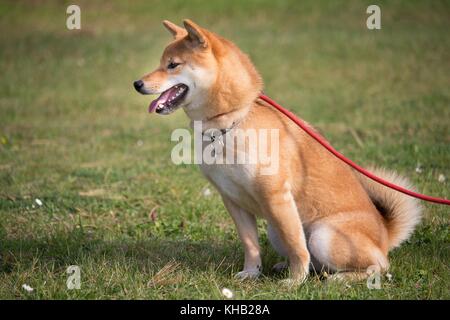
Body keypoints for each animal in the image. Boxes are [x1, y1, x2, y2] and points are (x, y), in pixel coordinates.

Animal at [134, 20, 422, 284]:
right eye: (161, 63)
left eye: (173, 65)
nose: (137, 83)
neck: (230, 123)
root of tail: (384, 235)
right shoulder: (232, 199)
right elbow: (250, 244)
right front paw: (252, 273)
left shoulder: (276, 198)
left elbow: (297, 247)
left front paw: (295, 281)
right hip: (276, 231)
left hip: (322, 234)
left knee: (378, 266)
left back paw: (340, 278)